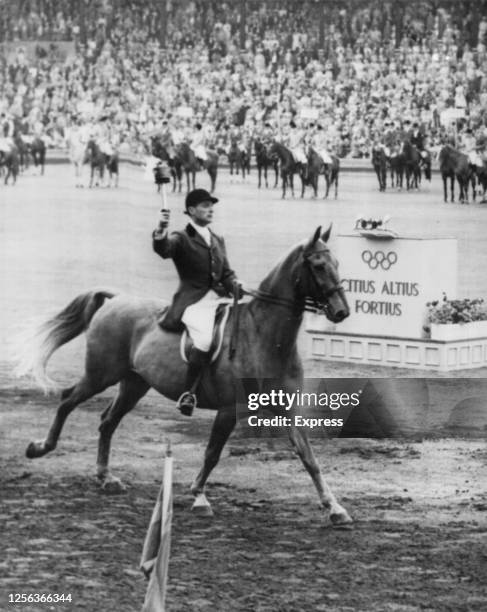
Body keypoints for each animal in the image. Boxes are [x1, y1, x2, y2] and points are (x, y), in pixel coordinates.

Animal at [18, 227, 354, 528]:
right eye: (319, 265)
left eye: (337, 263)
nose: (342, 312)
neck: (264, 337)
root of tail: (115, 299)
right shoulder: (229, 409)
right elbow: (212, 453)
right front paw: (199, 496)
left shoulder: (288, 410)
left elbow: (308, 456)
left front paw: (335, 508)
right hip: (100, 375)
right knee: (68, 401)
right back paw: (40, 448)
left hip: (134, 383)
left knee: (107, 422)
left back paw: (106, 477)